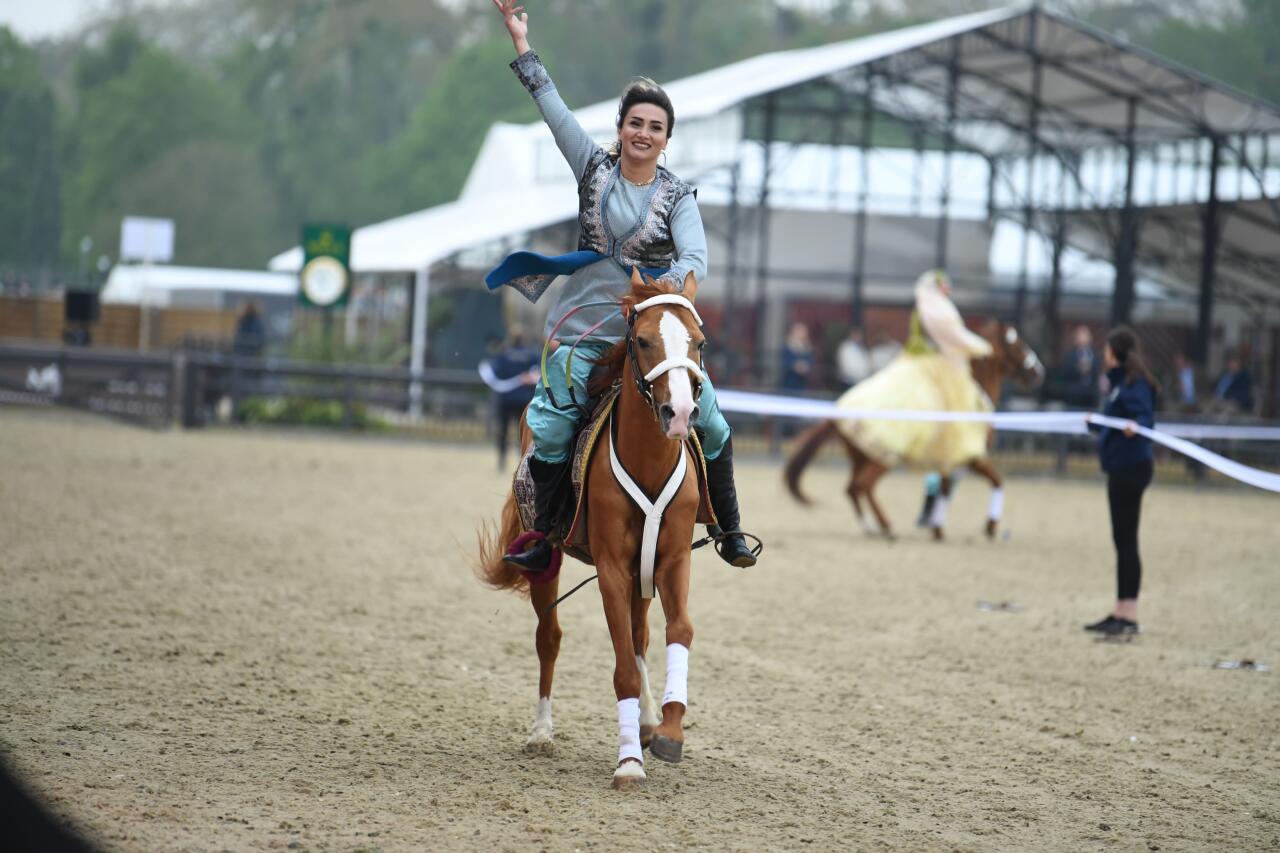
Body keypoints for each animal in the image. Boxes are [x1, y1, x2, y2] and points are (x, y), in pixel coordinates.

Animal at [478, 268, 706, 788]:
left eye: (699, 343)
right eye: (642, 341)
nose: (680, 414)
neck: (648, 462)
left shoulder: (671, 560)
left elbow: (678, 631)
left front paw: (668, 730)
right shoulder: (612, 569)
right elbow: (621, 667)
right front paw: (629, 763)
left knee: (642, 637)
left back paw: (648, 721)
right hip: (546, 563)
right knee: (550, 638)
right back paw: (542, 732)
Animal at [778, 318, 1039, 537]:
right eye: (1017, 344)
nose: (1037, 371)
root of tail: (840, 412)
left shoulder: (953, 459)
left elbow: (946, 489)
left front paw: (937, 527)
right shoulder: (971, 456)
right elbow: (996, 481)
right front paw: (989, 526)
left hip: (860, 456)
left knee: (852, 488)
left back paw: (871, 526)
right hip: (882, 457)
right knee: (863, 486)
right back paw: (885, 526)